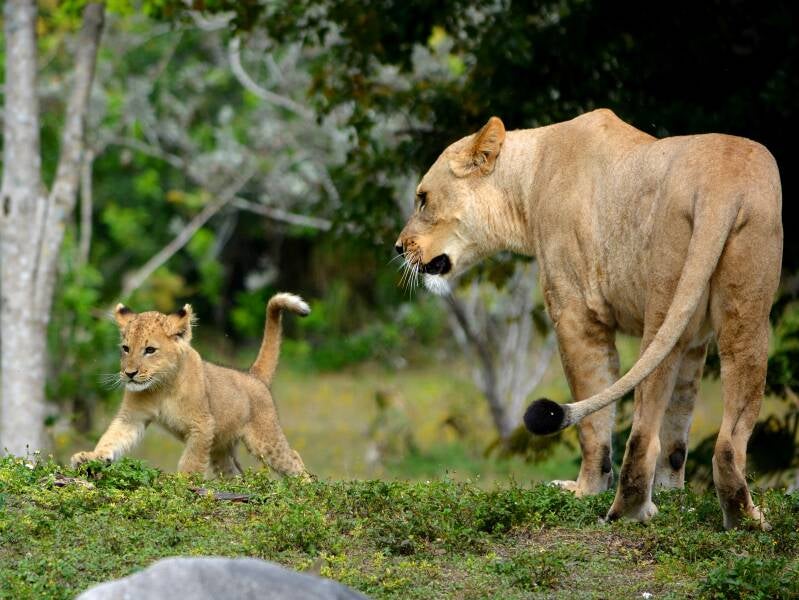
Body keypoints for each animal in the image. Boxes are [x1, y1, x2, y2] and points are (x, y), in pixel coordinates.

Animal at [71, 293, 311, 478]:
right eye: (126, 348)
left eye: (150, 350)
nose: (129, 374)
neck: (161, 387)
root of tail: (253, 375)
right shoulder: (132, 418)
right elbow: (111, 438)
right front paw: (89, 457)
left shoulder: (202, 425)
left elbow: (191, 461)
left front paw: (183, 483)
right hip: (221, 449)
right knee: (236, 474)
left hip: (265, 440)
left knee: (294, 458)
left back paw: (306, 488)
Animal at [395, 109, 782, 529]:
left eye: (422, 199)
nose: (398, 247)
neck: (528, 182)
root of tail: (721, 184)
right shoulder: (695, 339)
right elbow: (678, 426)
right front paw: (674, 499)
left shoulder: (576, 315)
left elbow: (594, 422)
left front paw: (585, 491)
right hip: (745, 307)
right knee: (728, 435)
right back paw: (743, 518)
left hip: (663, 300)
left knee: (643, 431)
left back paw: (629, 510)